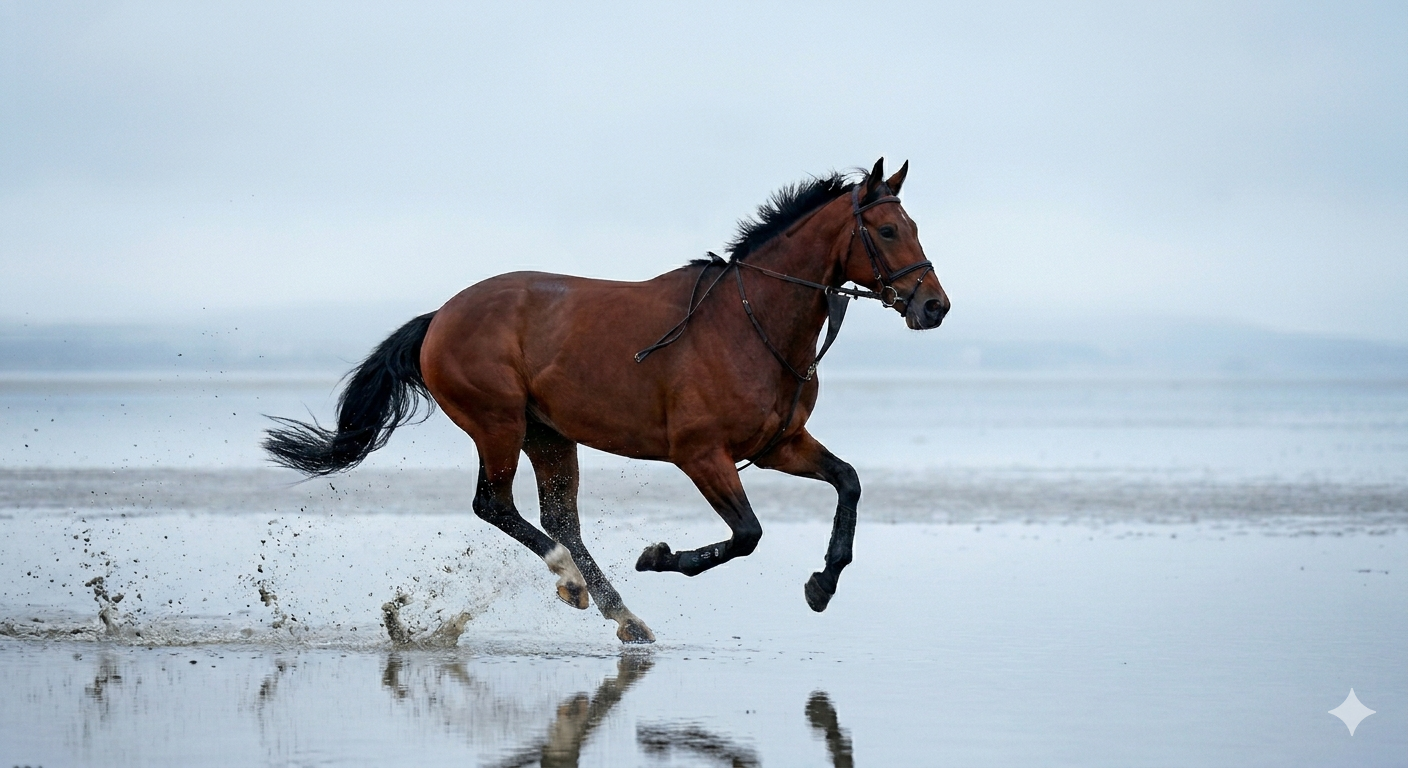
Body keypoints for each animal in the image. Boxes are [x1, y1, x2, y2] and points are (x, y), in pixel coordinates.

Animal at [263, 158, 950, 643]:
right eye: (888, 230)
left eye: (914, 227)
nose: (934, 306)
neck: (751, 324)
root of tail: (440, 317)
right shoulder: (701, 453)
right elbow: (748, 533)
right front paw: (660, 556)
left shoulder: (779, 444)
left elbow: (848, 482)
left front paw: (822, 584)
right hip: (497, 422)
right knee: (497, 505)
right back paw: (573, 582)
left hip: (548, 435)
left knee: (557, 518)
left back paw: (622, 614)